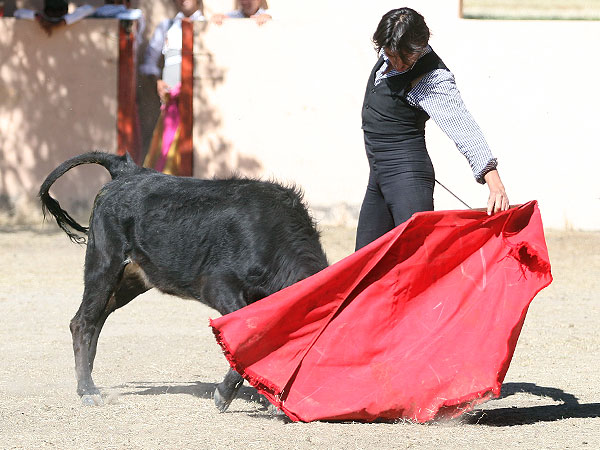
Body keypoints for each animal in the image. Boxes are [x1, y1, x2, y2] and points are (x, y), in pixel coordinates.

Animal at [38, 152, 328, 412]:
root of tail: (128, 171)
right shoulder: (218, 286)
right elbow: (249, 335)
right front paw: (223, 396)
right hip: (104, 264)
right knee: (82, 322)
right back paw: (88, 390)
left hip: (131, 280)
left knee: (97, 318)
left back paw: (85, 381)